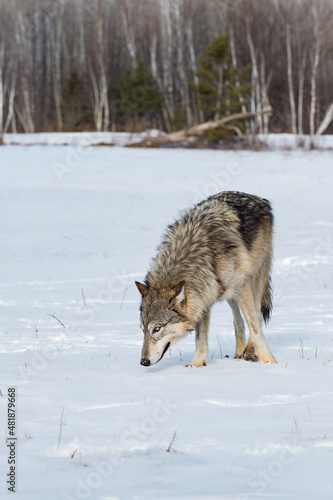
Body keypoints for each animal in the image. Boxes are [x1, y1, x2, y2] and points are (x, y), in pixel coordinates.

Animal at [134, 191, 274, 368]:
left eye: (157, 329)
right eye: (143, 329)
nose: (143, 361)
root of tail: (258, 198)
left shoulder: (239, 288)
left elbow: (255, 329)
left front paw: (270, 362)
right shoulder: (203, 296)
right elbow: (200, 339)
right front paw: (195, 366)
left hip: (254, 280)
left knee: (257, 314)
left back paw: (249, 351)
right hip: (229, 294)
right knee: (238, 321)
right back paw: (238, 353)